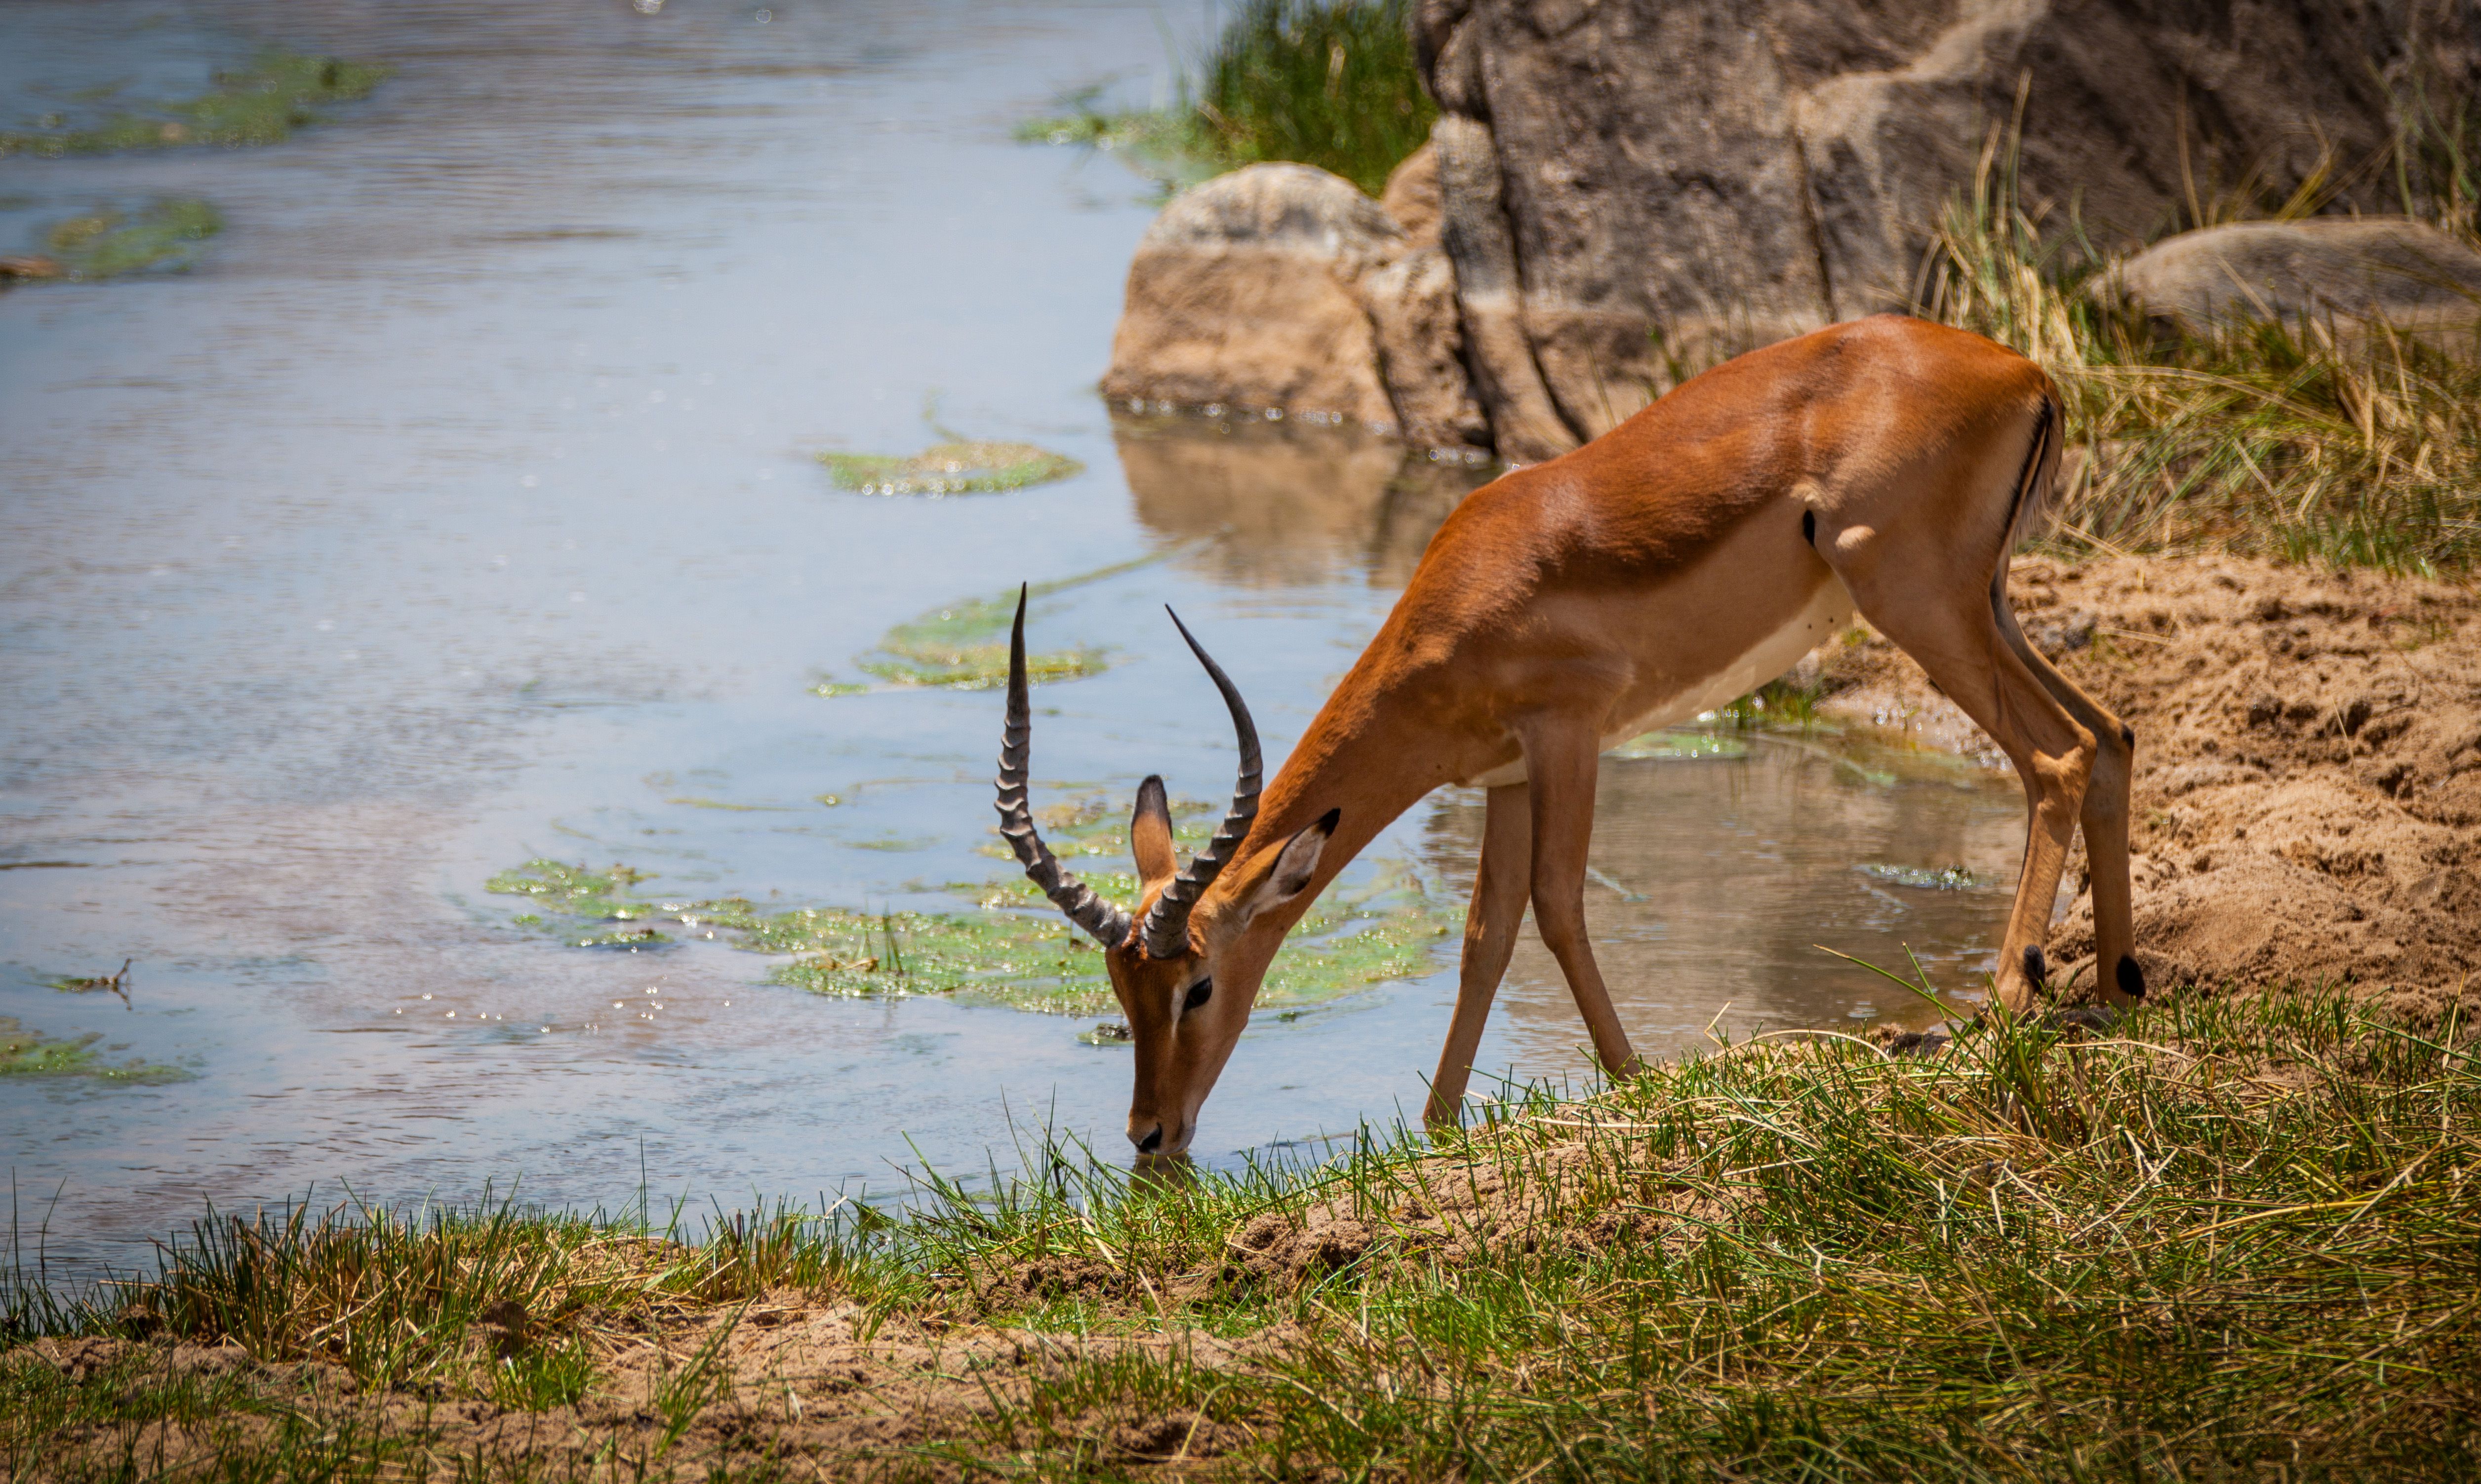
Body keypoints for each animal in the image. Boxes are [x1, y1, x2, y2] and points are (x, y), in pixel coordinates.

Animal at [997, 315, 2141, 1158]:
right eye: (1118, 990)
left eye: (1195, 985)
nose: (1149, 1134)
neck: (1466, 593)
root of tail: (2023, 370)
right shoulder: (1504, 777)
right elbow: (1483, 938)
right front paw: (1436, 1127)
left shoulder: (1570, 737)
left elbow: (1556, 909)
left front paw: (1634, 1080)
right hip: (1982, 608)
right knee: (2113, 734)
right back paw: (2120, 987)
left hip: (1915, 604)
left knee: (2055, 758)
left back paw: (2005, 1002)